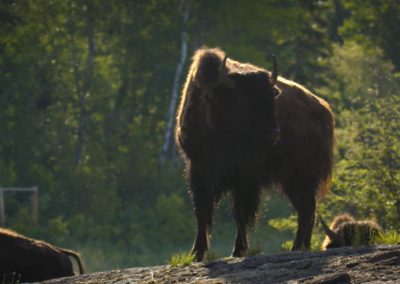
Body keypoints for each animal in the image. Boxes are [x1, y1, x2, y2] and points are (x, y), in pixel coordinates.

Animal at [175, 47, 334, 262]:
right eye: (244, 100)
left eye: (271, 98)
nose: (273, 132)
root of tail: (324, 110)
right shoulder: (199, 169)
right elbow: (203, 211)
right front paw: (197, 252)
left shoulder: (245, 177)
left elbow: (239, 213)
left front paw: (238, 250)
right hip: (295, 181)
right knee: (308, 209)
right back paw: (302, 247)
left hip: (300, 177)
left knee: (306, 209)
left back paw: (296, 248)